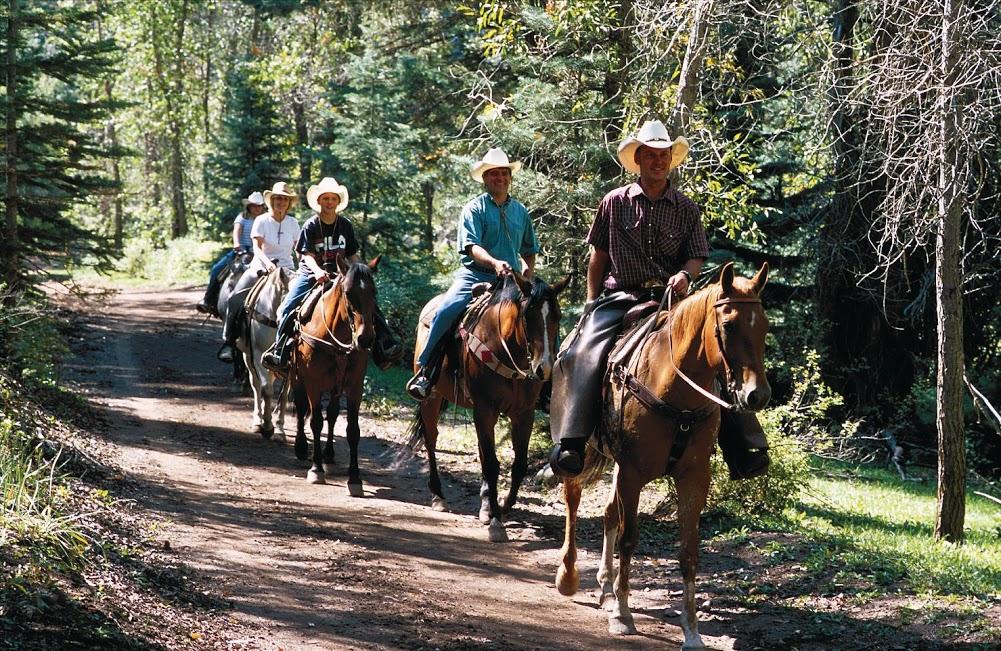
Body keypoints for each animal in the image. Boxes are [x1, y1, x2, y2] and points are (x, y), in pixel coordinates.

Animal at [292, 254, 382, 496]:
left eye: (374, 292)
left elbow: (353, 430)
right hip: (296, 377)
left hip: (335, 387)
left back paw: (329, 455)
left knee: (332, 414)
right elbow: (315, 422)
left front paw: (355, 478)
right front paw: (316, 469)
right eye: (348, 292)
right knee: (301, 408)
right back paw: (301, 447)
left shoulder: (354, 386)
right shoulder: (312, 383)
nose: (365, 339)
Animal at [402, 270, 568, 540]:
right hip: (432, 399)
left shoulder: (524, 414)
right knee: (431, 439)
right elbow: (491, 464)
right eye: (527, 315)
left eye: (557, 316)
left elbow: (518, 464)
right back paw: (438, 496)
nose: (544, 368)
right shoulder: (485, 409)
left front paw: (502, 506)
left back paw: (484, 505)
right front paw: (496, 522)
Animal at [560, 260, 768, 644]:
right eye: (729, 325)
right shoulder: (632, 473)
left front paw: (692, 630)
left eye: (764, 326)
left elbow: (688, 552)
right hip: (582, 451)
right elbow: (629, 538)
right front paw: (623, 616)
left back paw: (606, 589)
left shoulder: (694, 478)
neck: (675, 390)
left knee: (609, 514)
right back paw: (568, 577)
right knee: (574, 497)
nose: (756, 395)